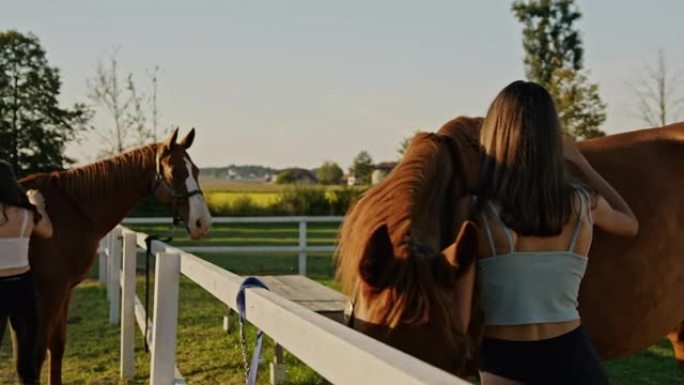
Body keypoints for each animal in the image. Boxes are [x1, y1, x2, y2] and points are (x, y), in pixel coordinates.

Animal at [0, 127, 211, 382]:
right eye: (176, 171)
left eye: (196, 171)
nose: (202, 222)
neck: (71, 210)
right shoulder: (48, 292)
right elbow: (37, 355)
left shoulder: (64, 291)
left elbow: (56, 346)